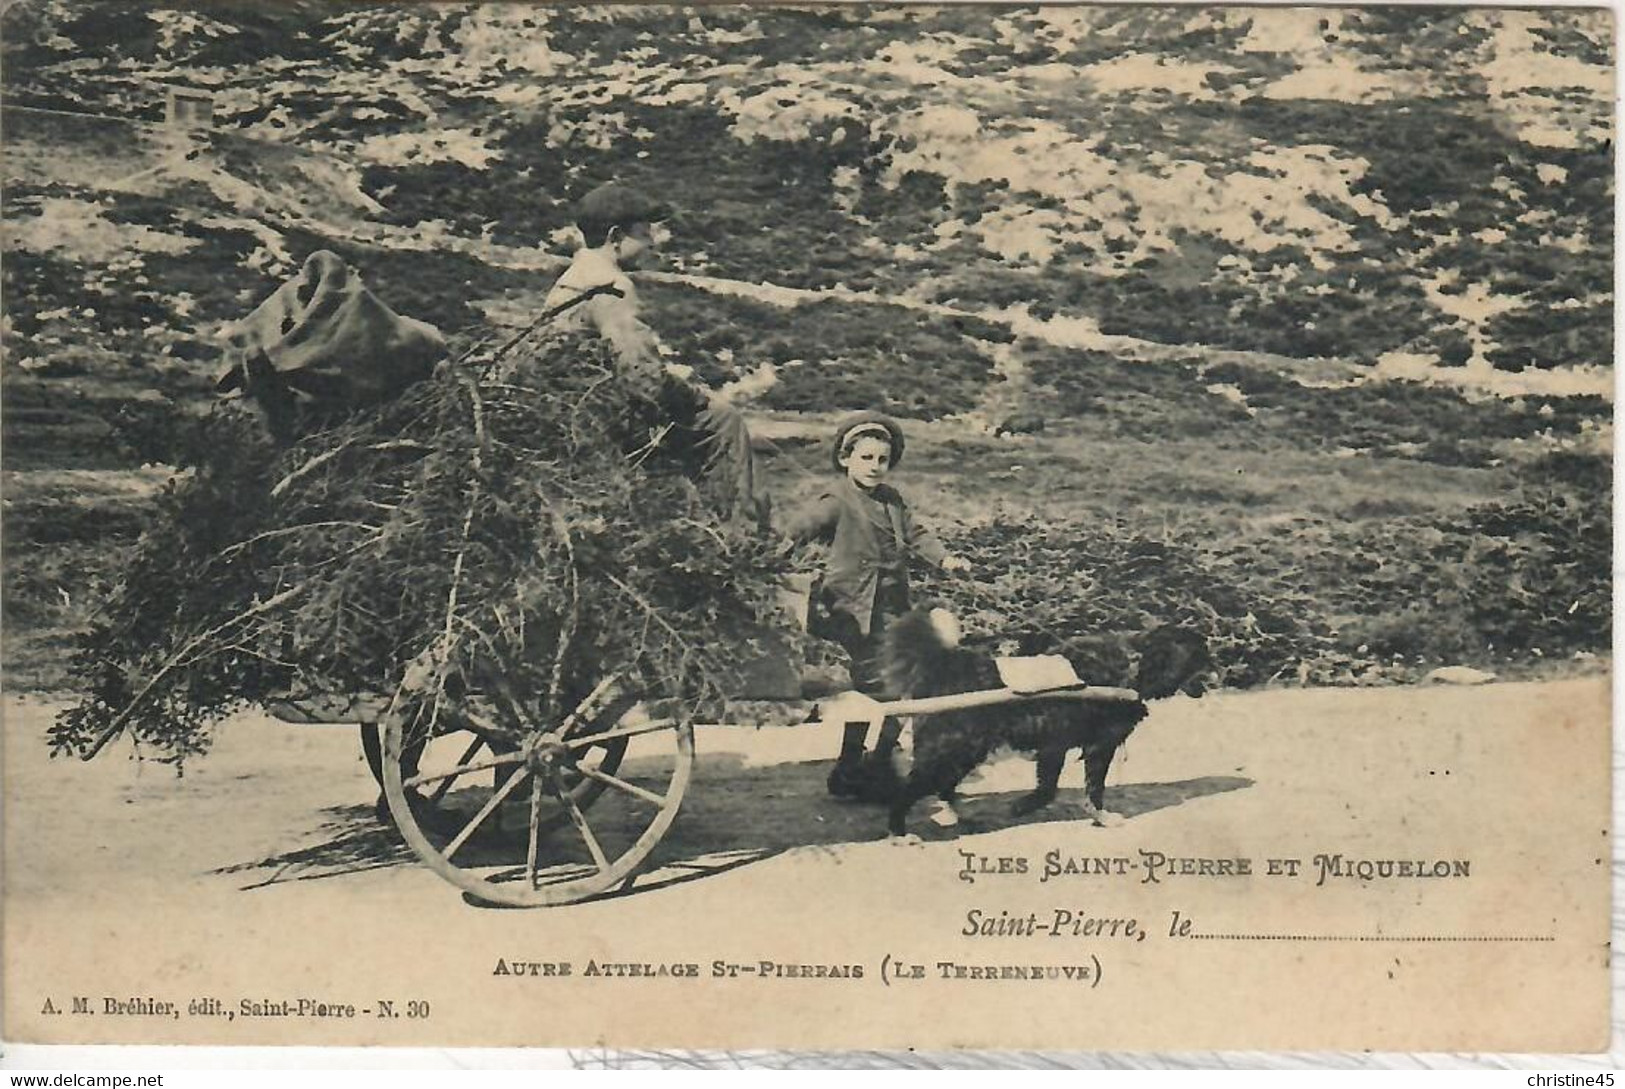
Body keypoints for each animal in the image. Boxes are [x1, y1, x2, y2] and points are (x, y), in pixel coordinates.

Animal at [877, 611, 1209, 838]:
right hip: (952, 748)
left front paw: (1026, 806)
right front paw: (1100, 817)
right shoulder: (1096, 746)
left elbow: (1049, 787)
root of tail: (946, 664)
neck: (1134, 663)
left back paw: (958, 817)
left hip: (964, 750)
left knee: (944, 787)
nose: (1210, 680)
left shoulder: (1055, 745)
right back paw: (899, 832)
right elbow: (1092, 788)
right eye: (1202, 659)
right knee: (911, 788)